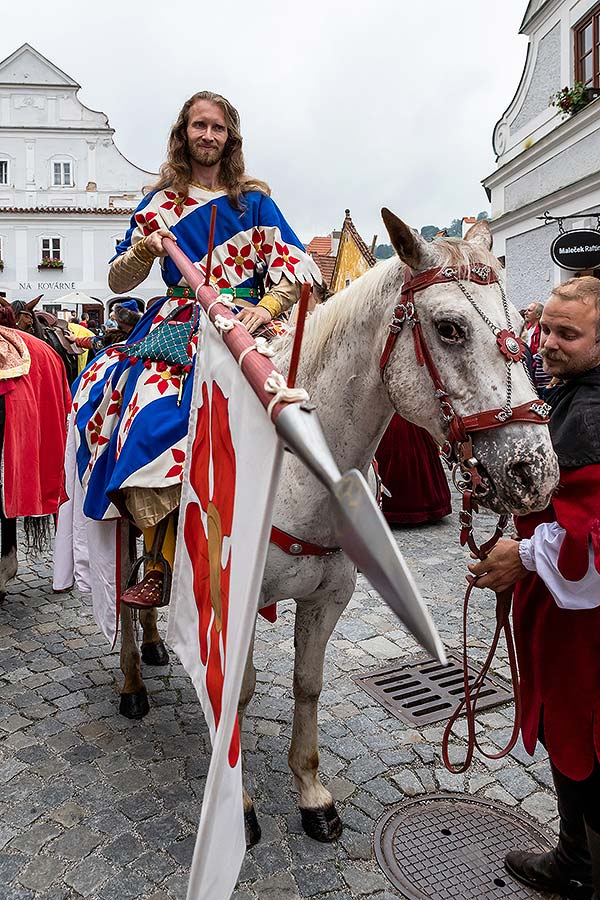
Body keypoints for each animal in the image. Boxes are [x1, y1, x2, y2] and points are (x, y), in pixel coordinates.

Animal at [116, 211, 556, 844]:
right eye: (448, 328)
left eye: (521, 324)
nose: (534, 470)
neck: (304, 462)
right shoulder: (236, 597)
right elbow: (238, 692)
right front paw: (238, 805)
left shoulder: (330, 596)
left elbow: (308, 683)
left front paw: (311, 793)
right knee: (122, 599)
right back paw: (132, 681)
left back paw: (156, 642)